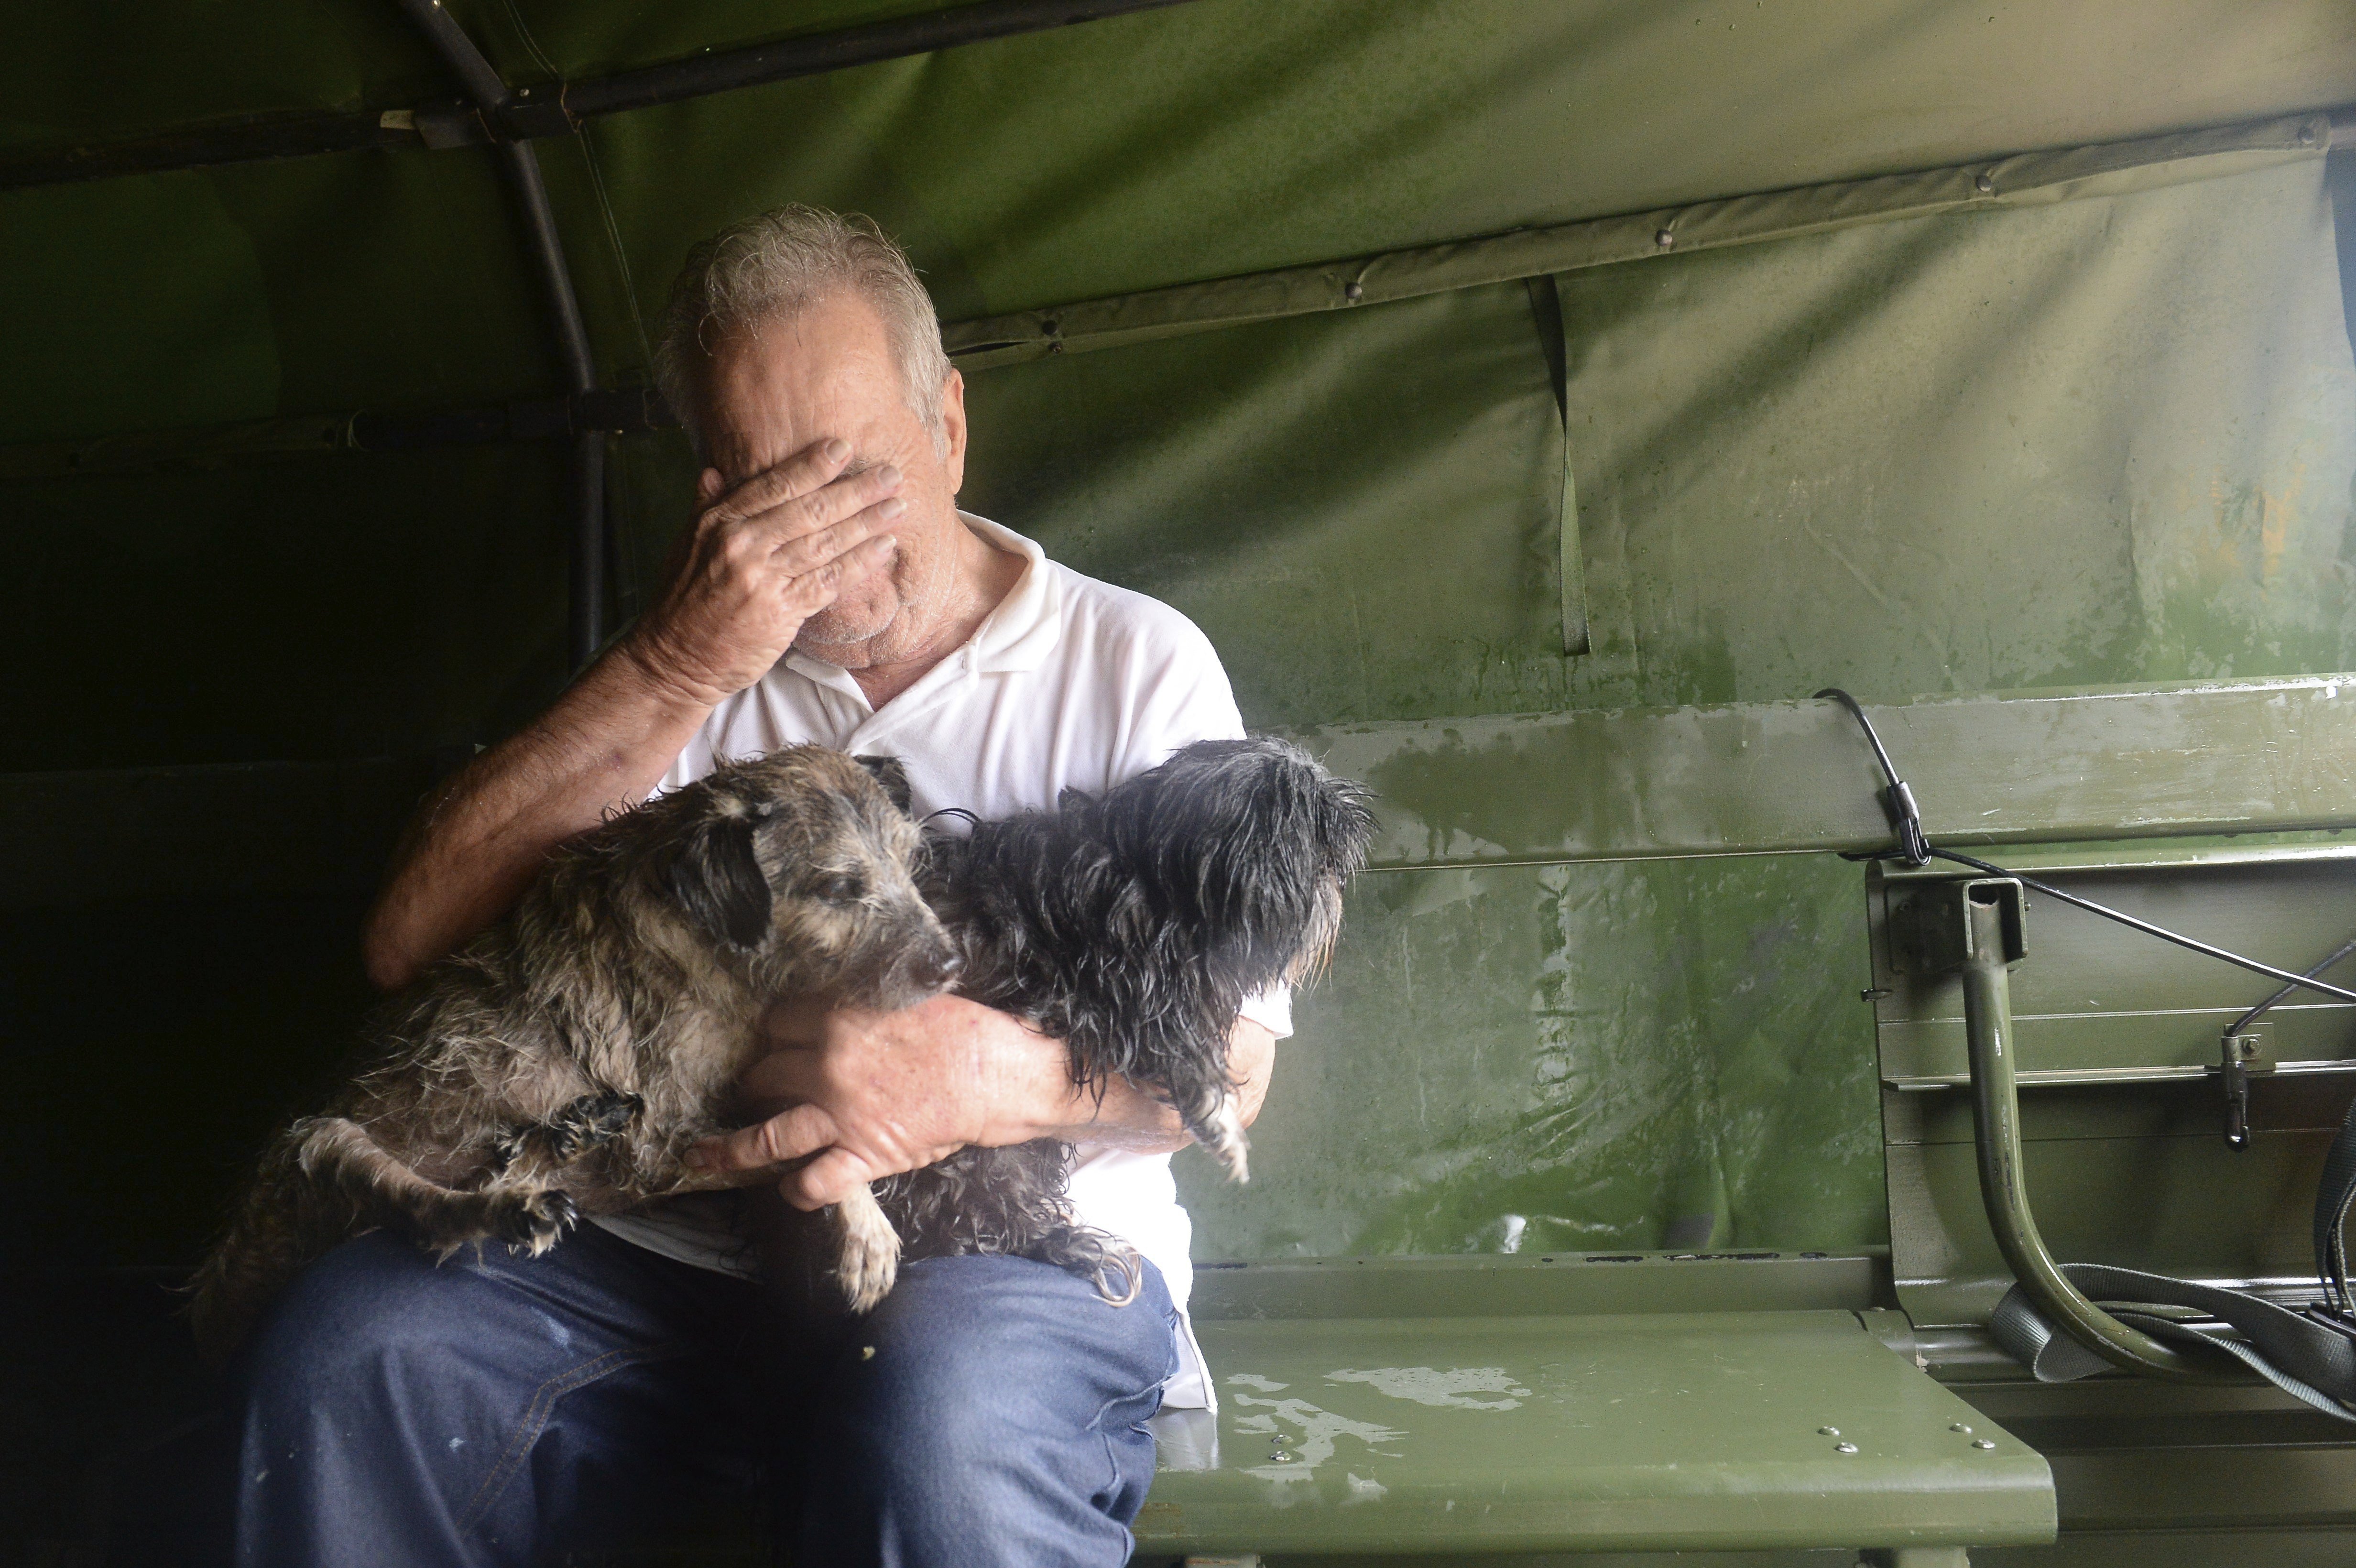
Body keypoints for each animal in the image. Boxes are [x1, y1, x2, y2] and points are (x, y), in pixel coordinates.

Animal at [188, 744, 951, 1356]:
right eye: (837, 887)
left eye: (910, 857)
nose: (947, 964)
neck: (707, 936)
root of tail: (222, 1286)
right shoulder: (665, 1141)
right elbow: (806, 1140)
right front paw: (866, 1231)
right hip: (321, 1144)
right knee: (432, 1213)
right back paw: (516, 1203)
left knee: (504, 1169)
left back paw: (566, 1135)